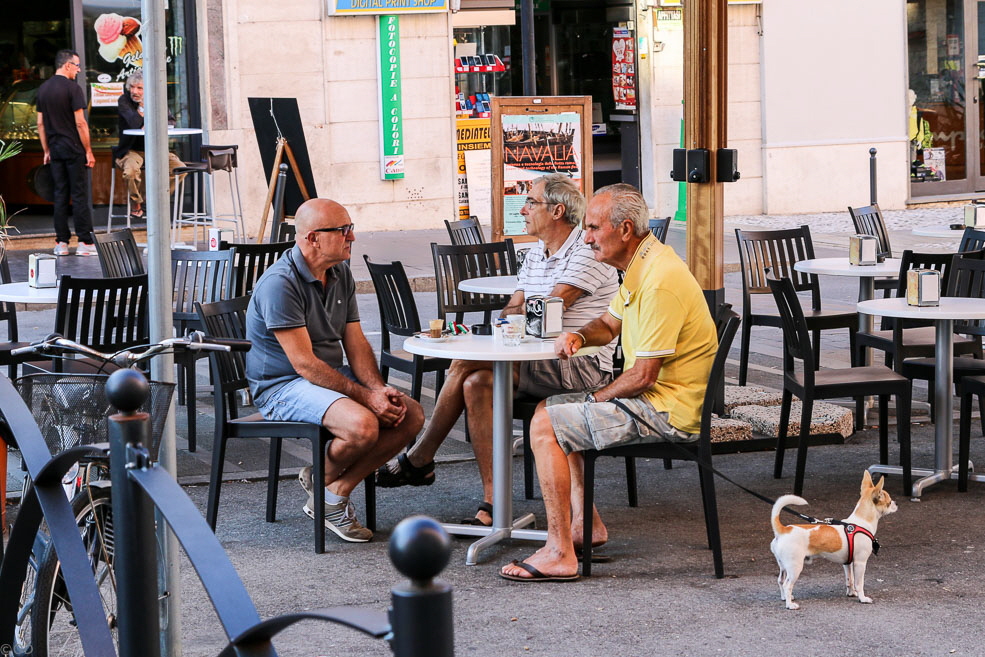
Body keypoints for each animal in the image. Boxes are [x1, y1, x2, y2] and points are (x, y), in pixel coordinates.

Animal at [772, 468, 896, 608]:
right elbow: (859, 583)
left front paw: (851, 593)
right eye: (889, 502)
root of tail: (783, 530)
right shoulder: (860, 563)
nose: (896, 503)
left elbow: (850, 579)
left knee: (780, 580)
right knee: (787, 584)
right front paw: (862, 598)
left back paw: (785, 598)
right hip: (795, 567)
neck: (861, 521)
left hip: (784, 566)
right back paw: (790, 604)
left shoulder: (847, 563)